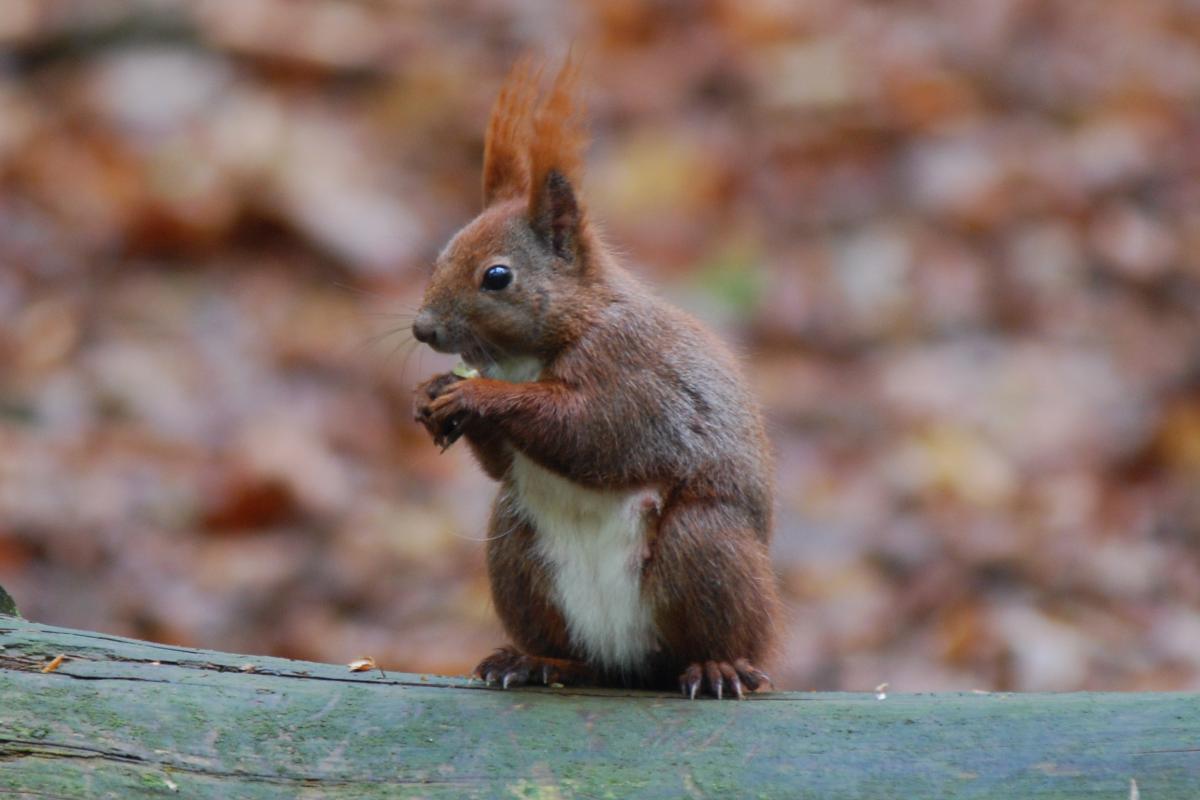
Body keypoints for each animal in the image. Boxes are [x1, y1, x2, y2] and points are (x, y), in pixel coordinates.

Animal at [412, 56, 782, 695]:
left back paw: (718, 666)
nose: (422, 328)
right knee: (573, 651)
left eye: (497, 276)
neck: (532, 354)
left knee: (717, 634)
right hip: (514, 549)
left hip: (706, 544)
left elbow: (592, 433)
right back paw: (535, 662)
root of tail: (627, 661)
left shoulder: (634, 375)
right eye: (443, 253)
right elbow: (503, 463)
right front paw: (434, 395)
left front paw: (477, 394)